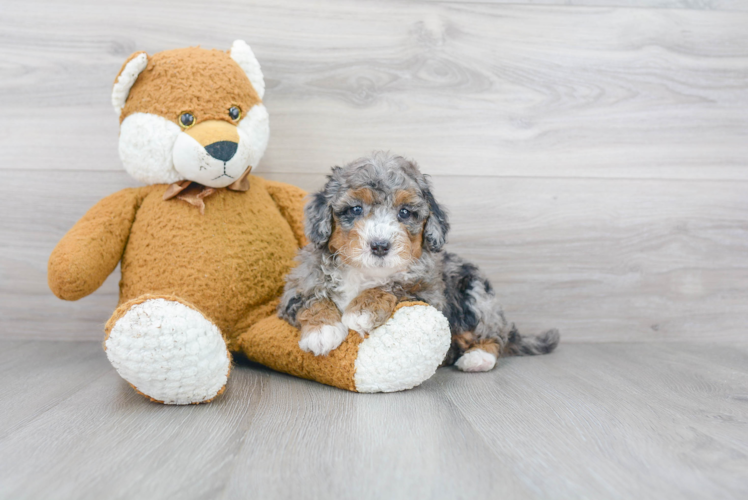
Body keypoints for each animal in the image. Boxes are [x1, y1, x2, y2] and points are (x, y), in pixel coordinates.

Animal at [278, 152, 560, 372]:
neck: (364, 273)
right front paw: (321, 331)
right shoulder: (295, 289)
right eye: (356, 209)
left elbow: (394, 286)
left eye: (405, 212)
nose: (380, 246)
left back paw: (477, 358)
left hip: (476, 294)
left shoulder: (430, 296)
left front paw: (362, 309)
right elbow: (312, 299)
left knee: (492, 335)